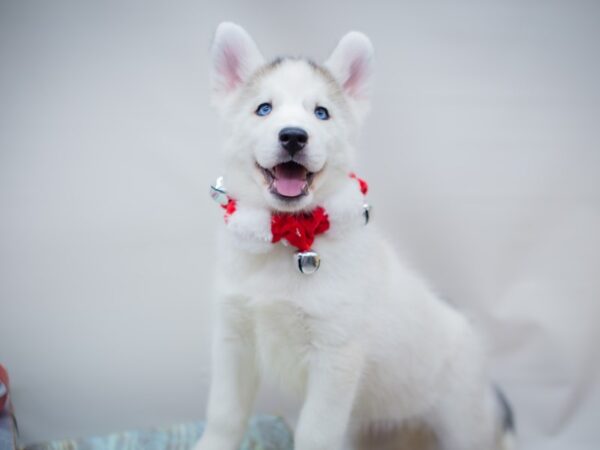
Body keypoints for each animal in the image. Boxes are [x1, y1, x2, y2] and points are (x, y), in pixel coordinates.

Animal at [196, 22, 516, 450]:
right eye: (264, 109)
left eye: (321, 113)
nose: (294, 136)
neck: (287, 235)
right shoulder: (234, 341)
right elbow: (223, 415)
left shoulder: (334, 359)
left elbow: (314, 434)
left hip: (465, 426)